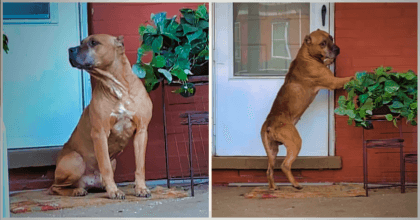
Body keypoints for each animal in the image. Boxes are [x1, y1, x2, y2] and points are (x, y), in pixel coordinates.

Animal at [49, 34, 153, 199]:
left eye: (93, 42)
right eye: (81, 42)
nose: (70, 49)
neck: (118, 87)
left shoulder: (141, 131)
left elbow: (140, 166)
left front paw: (141, 188)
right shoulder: (100, 133)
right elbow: (105, 166)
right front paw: (114, 191)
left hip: (114, 160)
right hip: (75, 160)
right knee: (54, 188)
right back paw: (77, 191)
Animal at [260, 29, 352, 191]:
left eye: (331, 38)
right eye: (322, 43)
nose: (337, 49)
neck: (307, 55)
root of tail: (270, 124)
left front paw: (329, 61)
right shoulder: (334, 82)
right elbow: (348, 78)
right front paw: (363, 76)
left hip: (272, 150)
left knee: (269, 170)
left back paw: (273, 187)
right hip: (295, 142)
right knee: (285, 165)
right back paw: (296, 184)